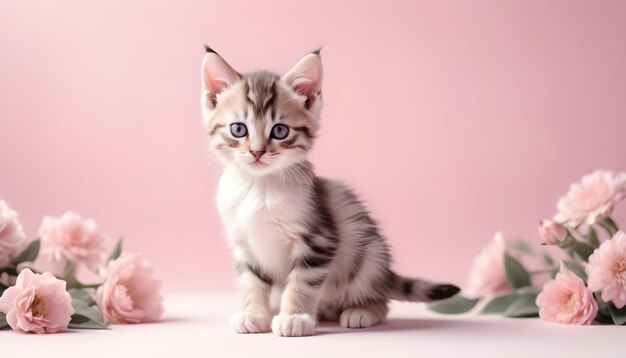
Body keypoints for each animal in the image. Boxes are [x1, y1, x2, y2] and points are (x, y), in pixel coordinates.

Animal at [200, 46, 458, 336]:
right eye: (238, 129)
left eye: (280, 131)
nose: (257, 152)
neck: (259, 186)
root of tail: (385, 273)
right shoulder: (244, 245)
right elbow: (251, 282)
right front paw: (253, 313)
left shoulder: (319, 239)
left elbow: (302, 282)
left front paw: (294, 318)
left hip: (367, 256)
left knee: (381, 301)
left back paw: (361, 311)